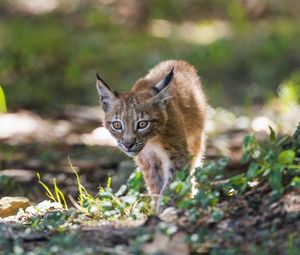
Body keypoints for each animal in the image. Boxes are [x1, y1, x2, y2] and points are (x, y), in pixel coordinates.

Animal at [96, 59, 206, 211]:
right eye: (117, 125)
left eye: (142, 124)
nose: (128, 145)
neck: (152, 141)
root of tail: (177, 61)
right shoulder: (147, 160)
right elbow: (156, 185)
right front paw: (157, 208)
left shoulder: (179, 154)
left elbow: (172, 184)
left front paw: (164, 209)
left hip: (196, 140)